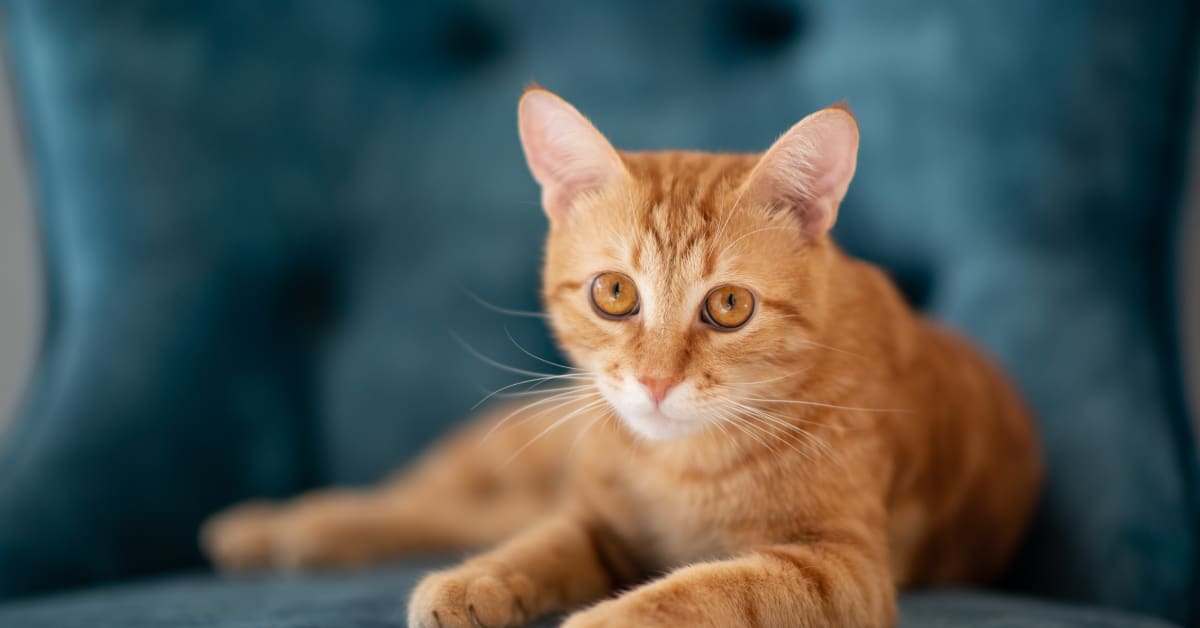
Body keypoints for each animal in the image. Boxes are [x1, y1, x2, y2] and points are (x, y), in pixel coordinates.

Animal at [204, 85, 1041, 624]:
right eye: (613, 293)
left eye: (728, 307)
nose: (655, 379)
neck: (679, 468)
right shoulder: (595, 522)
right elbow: (537, 544)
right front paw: (478, 581)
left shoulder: (841, 566)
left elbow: (707, 589)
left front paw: (606, 617)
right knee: (425, 500)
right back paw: (276, 528)